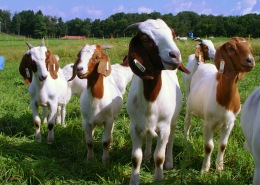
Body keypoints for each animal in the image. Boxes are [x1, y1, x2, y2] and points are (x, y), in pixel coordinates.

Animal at [125, 18, 190, 184]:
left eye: (173, 35)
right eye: (145, 38)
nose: (175, 56)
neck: (151, 101)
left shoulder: (164, 127)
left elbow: (159, 157)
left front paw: (159, 178)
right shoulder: (134, 127)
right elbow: (135, 157)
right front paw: (134, 179)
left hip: (173, 122)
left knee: (171, 141)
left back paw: (169, 162)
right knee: (148, 136)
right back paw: (147, 155)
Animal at [184, 36, 255, 173]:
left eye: (250, 47)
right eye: (231, 48)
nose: (250, 61)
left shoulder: (229, 123)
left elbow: (222, 145)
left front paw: (220, 167)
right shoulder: (209, 123)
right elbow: (208, 146)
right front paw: (205, 169)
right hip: (189, 104)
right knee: (188, 122)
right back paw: (186, 138)